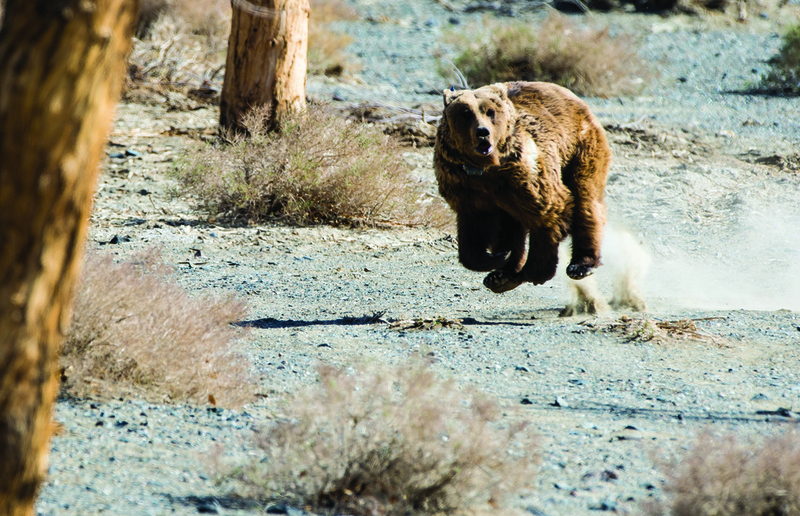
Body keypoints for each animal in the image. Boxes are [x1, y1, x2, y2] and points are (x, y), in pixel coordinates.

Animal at [434, 80, 608, 292]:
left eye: (490, 112)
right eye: (466, 113)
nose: (483, 133)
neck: (484, 168)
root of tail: (573, 97)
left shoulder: (525, 173)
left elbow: (548, 212)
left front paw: (536, 270)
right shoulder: (464, 185)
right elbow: (473, 230)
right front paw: (496, 258)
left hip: (579, 147)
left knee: (585, 199)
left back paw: (581, 265)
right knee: (510, 223)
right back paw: (501, 274)